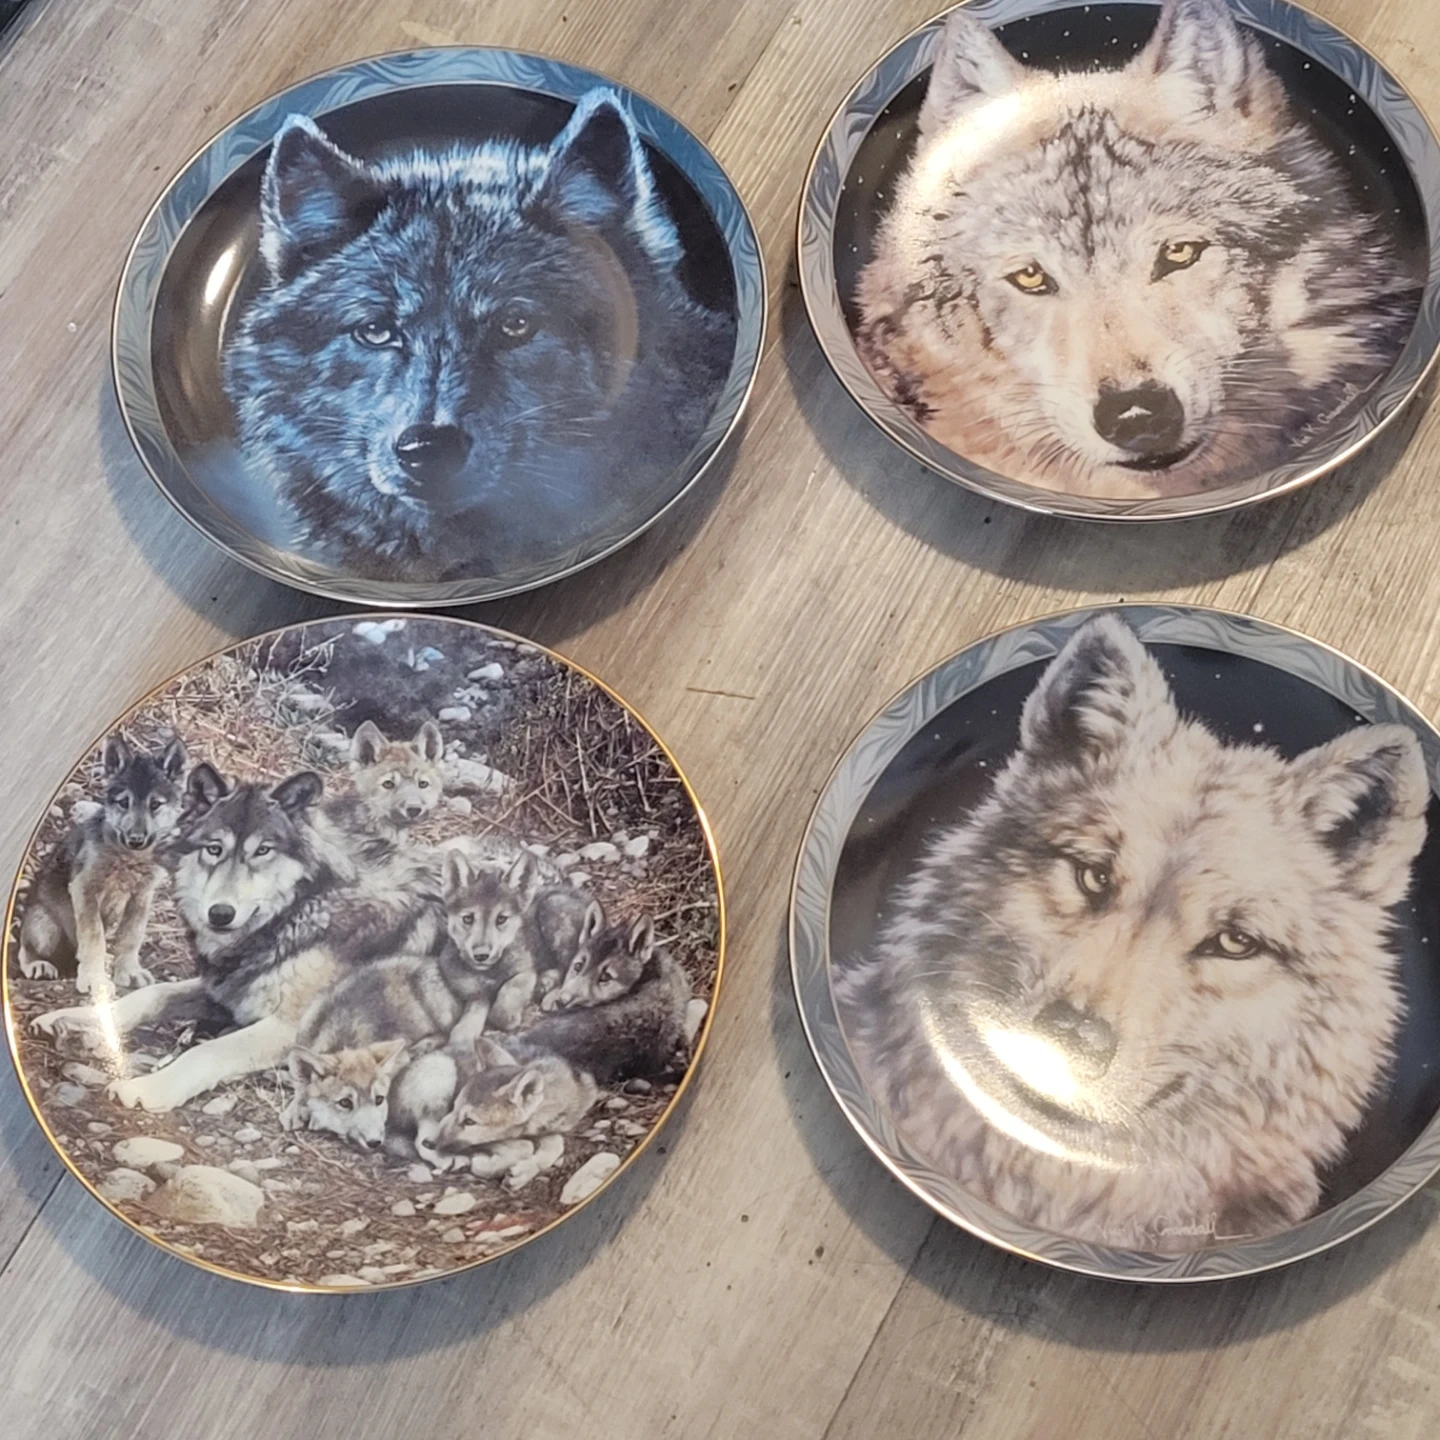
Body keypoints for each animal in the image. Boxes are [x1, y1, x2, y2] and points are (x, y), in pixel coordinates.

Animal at [17, 734, 187, 995]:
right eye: (123, 802)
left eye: (155, 804)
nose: (135, 839)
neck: (128, 858)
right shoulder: (85, 889)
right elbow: (93, 938)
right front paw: (94, 979)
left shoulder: (141, 896)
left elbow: (130, 937)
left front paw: (129, 971)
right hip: (45, 927)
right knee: (24, 949)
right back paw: (39, 964)